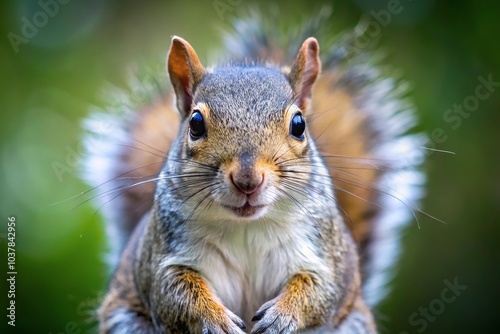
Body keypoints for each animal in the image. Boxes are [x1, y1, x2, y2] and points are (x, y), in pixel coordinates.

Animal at [82, 10, 426, 334]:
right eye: (195, 123)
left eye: (299, 125)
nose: (247, 180)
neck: (247, 228)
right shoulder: (163, 257)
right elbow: (175, 293)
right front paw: (215, 318)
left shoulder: (325, 256)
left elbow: (319, 290)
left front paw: (282, 316)